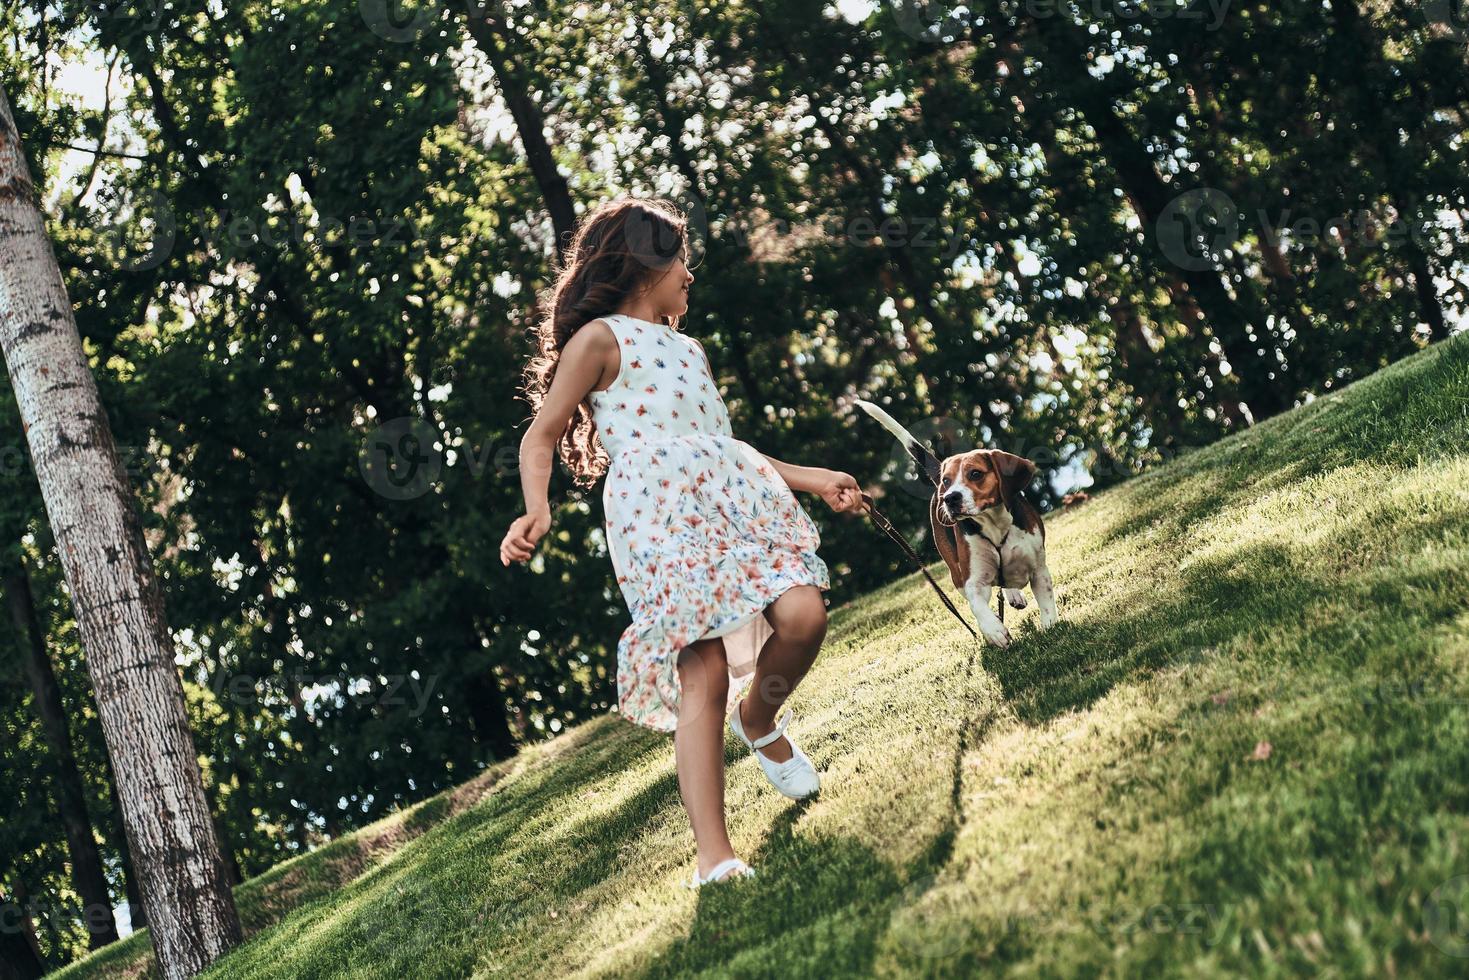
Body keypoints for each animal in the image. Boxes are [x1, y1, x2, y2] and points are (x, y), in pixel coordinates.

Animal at [857, 402, 1063, 646]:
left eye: (975, 474)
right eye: (947, 481)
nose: (950, 498)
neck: (995, 528)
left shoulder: (1039, 568)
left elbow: (1047, 602)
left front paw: (1051, 628)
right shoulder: (972, 579)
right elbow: (978, 605)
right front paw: (993, 629)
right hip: (956, 574)